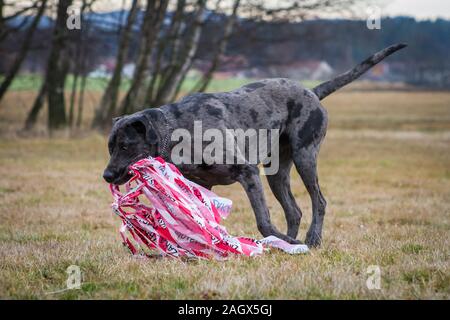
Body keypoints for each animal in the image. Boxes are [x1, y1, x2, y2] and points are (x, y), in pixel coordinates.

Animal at [104, 43, 408, 246]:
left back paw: (310, 239)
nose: (106, 175)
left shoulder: (248, 173)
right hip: (277, 172)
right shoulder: (204, 184)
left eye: (126, 146)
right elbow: (207, 218)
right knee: (294, 210)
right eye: (110, 147)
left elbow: (262, 220)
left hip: (305, 157)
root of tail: (312, 91)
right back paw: (285, 242)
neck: (180, 129)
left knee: (318, 201)